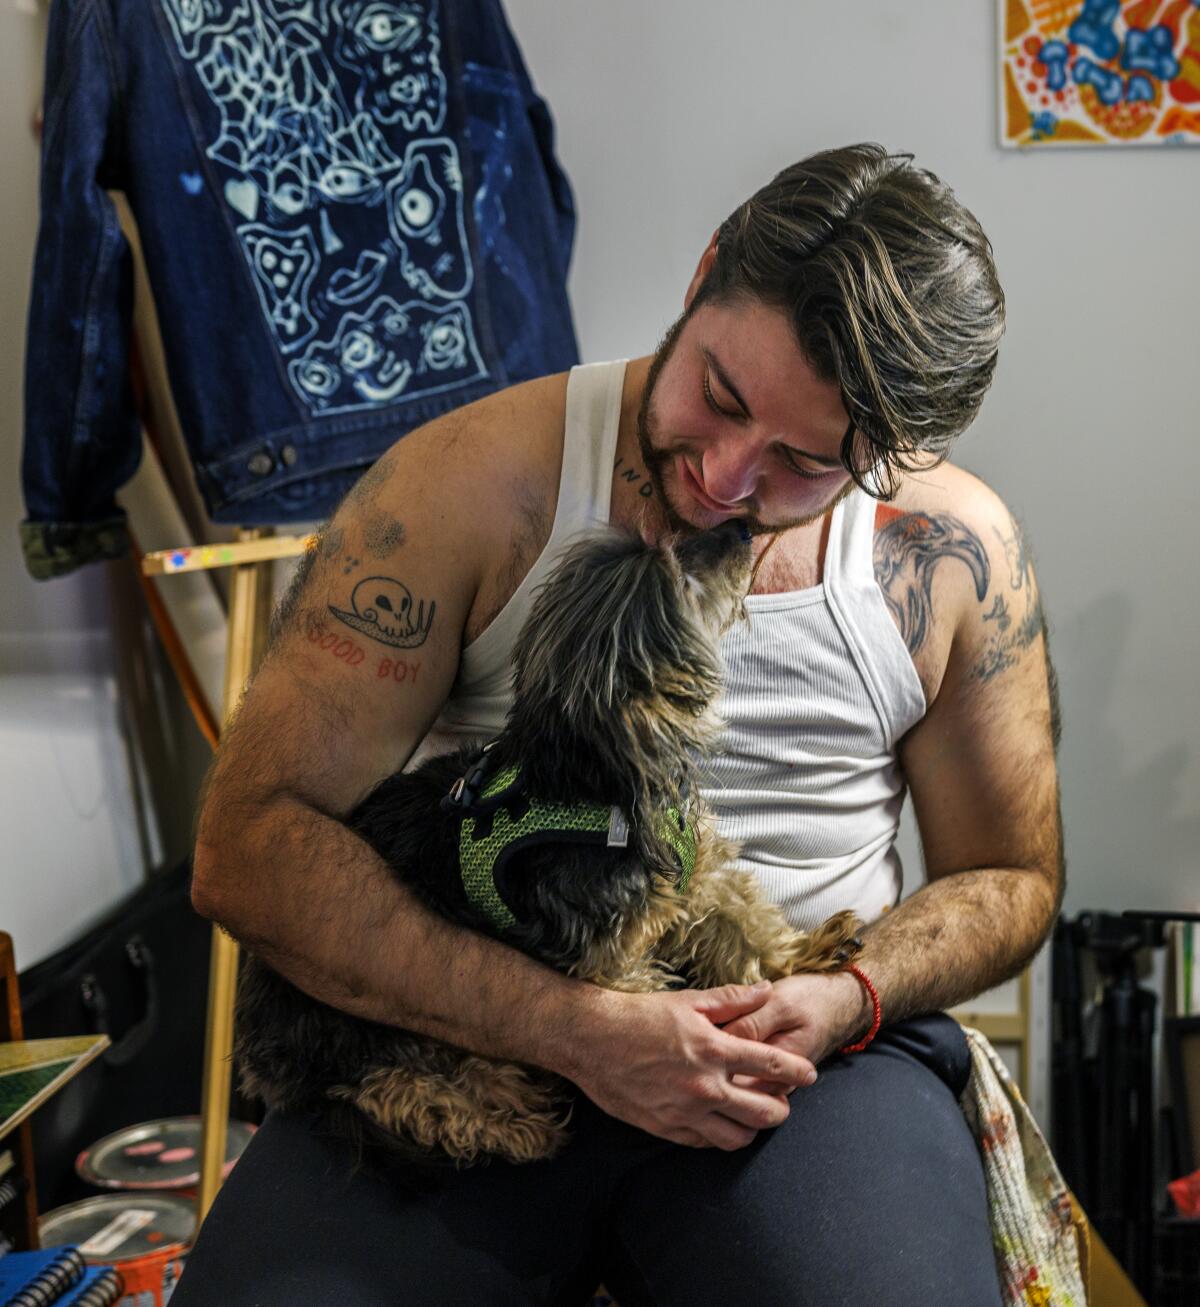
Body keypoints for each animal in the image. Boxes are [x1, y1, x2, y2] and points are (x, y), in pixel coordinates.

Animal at [236, 517, 862, 1165]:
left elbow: (745, 927)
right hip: (377, 1029)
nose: (740, 528)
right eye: (681, 572)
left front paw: (805, 953)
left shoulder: (697, 878)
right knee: (406, 1090)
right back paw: (516, 1123)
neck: (600, 785)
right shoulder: (609, 966)